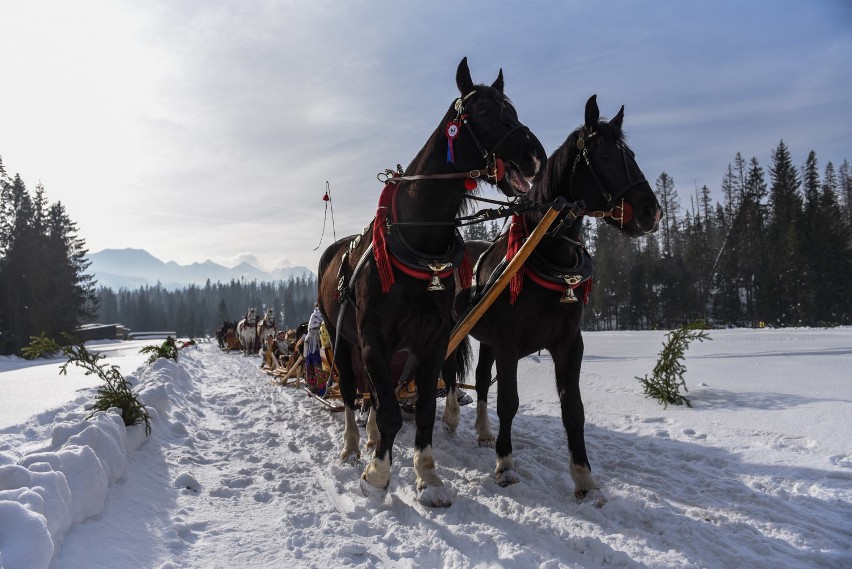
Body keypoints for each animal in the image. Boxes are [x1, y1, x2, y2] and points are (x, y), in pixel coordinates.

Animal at [314, 57, 544, 506]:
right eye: (483, 111)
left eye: (512, 107)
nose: (535, 155)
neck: (418, 240)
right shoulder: (372, 338)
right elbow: (387, 409)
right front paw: (378, 475)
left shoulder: (433, 340)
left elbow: (419, 410)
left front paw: (428, 476)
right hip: (341, 336)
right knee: (350, 392)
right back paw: (352, 446)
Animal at [442, 95, 664, 504]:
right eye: (605, 155)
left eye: (631, 154)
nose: (651, 212)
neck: (545, 256)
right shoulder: (509, 345)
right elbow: (509, 402)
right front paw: (505, 465)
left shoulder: (568, 344)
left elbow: (573, 410)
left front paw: (584, 479)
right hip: (451, 328)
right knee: (450, 373)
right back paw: (451, 417)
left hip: (486, 338)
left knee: (479, 380)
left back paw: (483, 432)